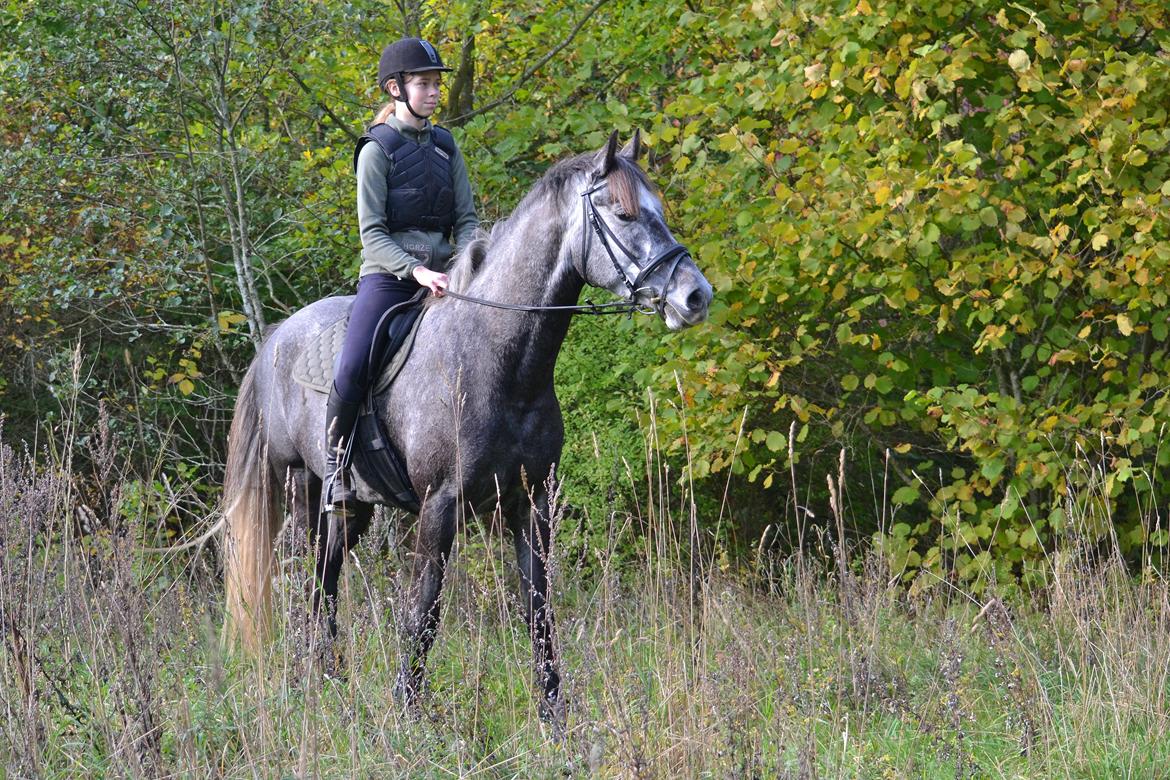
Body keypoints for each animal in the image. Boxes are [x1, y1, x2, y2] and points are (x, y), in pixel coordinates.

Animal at [219, 130, 711, 715]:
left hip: (353, 507)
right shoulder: (440, 506)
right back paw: (307, 687)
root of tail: (276, 337)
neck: (499, 362)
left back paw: (333, 682)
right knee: (309, 582)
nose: (696, 296)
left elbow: (538, 613)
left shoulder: (531, 503)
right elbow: (425, 612)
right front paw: (407, 712)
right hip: (305, 488)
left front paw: (554, 717)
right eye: (624, 214)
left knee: (328, 582)